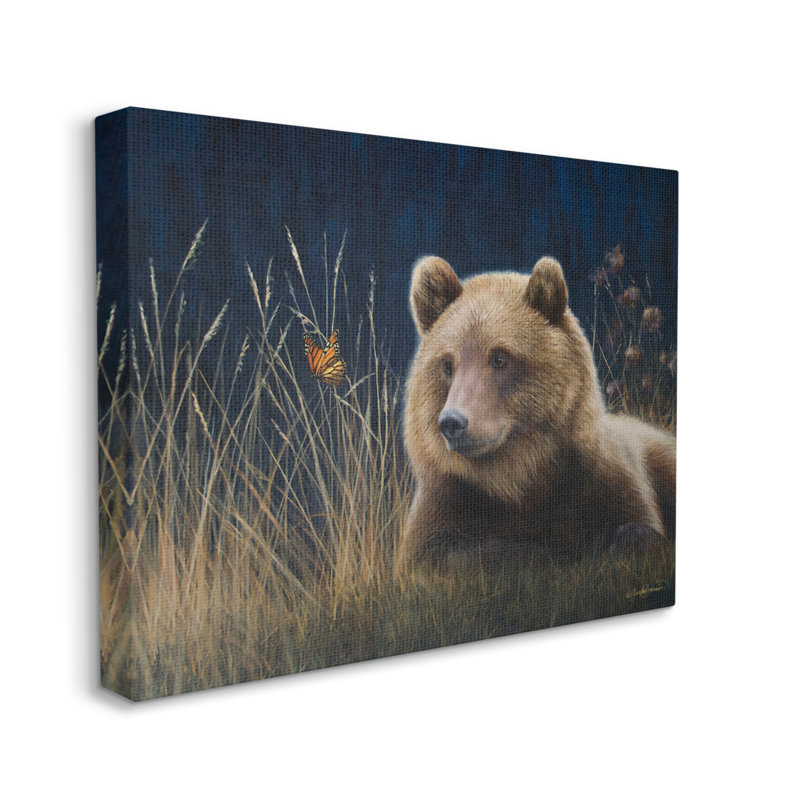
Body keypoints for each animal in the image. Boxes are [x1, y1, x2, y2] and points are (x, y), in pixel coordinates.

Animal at [396, 255, 676, 572]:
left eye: (500, 357)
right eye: (447, 363)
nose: (452, 422)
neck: (518, 476)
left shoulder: (602, 480)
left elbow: (635, 524)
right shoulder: (446, 502)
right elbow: (439, 556)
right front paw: (538, 555)